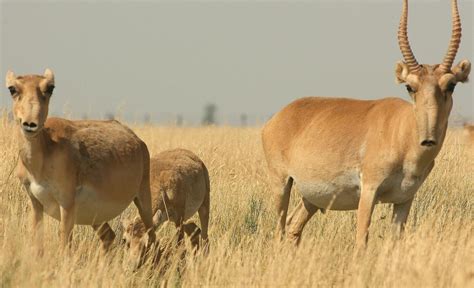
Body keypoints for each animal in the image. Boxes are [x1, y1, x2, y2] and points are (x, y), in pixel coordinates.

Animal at [5, 69, 156, 252]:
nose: (30, 124)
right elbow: (38, 247)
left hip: (143, 201)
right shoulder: (36, 204)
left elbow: (64, 245)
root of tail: (137, 140)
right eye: (12, 89)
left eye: (50, 87)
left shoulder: (67, 205)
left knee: (153, 237)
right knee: (109, 236)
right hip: (96, 218)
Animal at [262, 0, 472, 248]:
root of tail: (278, 117)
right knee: (280, 229)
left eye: (451, 85)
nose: (428, 139)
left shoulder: (404, 199)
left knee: (294, 226)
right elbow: (361, 241)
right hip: (281, 184)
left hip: (310, 198)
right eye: (410, 86)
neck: (401, 132)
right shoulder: (368, 192)